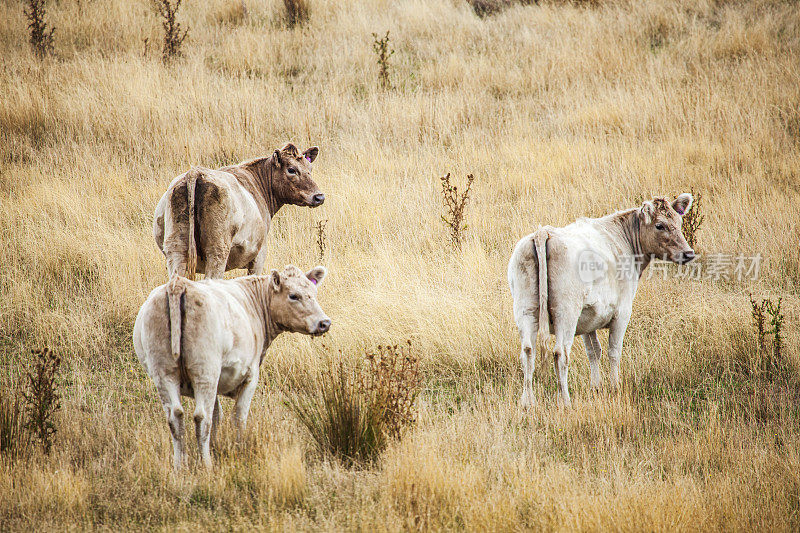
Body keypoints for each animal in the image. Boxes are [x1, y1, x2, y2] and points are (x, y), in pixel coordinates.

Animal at [132, 264, 332, 468]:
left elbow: (217, 414)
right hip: (205, 371)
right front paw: (239, 449)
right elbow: (238, 417)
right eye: (293, 296)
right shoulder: (250, 377)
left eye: (314, 292)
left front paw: (215, 446)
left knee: (176, 416)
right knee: (202, 417)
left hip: (164, 373)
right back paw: (206, 465)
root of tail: (179, 284)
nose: (324, 323)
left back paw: (180, 465)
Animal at [153, 143, 322, 280]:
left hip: (176, 250)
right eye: (291, 170)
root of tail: (195, 173)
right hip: (217, 252)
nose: (319, 196)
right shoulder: (259, 256)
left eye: (310, 169)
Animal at [512, 195, 692, 408]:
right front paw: (615, 387)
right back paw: (565, 401)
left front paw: (596, 387)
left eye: (679, 222)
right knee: (560, 353)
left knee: (528, 351)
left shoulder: (588, 318)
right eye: (660, 225)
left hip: (526, 309)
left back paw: (527, 402)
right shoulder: (622, 313)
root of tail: (543, 232)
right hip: (566, 312)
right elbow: (613, 351)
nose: (688, 253)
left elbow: (593, 351)